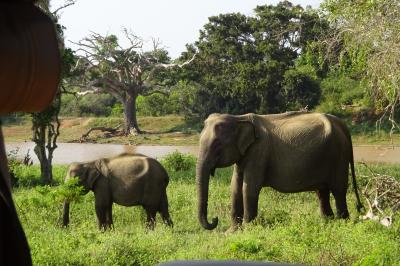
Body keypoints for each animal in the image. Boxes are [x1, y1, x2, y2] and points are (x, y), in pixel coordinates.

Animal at [195, 111, 364, 230]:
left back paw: (342, 223)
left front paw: (247, 229)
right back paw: (327, 222)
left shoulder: (259, 152)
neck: (238, 118)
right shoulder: (244, 155)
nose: (215, 219)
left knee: (338, 190)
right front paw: (232, 232)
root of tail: (343, 125)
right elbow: (235, 187)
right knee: (322, 192)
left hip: (339, 155)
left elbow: (249, 188)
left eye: (217, 144)